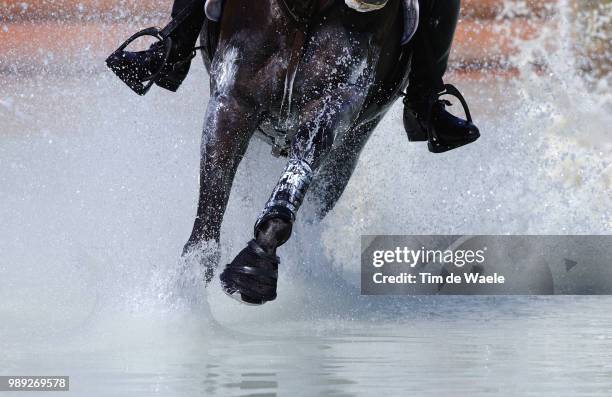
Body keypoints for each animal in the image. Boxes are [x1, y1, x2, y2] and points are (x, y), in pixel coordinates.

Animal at [105, 0, 478, 304]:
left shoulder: (334, 102)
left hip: (350, 149)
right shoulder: (232, 100)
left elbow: (294, 180)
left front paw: (255, 267)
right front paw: (186, 296)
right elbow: (210, 209)